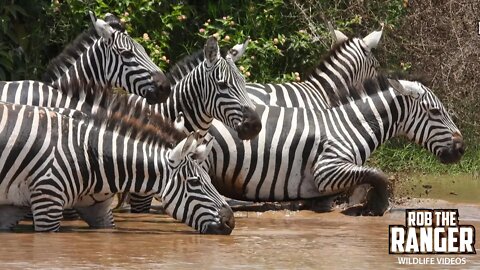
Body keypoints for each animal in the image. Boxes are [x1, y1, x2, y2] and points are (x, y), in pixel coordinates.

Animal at [0, 83, 234, 233]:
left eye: (210, 180)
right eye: (195, 183)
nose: (231, 223)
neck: (89, 154)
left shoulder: (15, 205)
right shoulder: (47, 200)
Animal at [205, 74, 464, 215]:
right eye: (435, 112)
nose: (462, 149)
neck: (349, 126)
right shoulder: (327, 169)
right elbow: (378, 174)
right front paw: (378, 206)